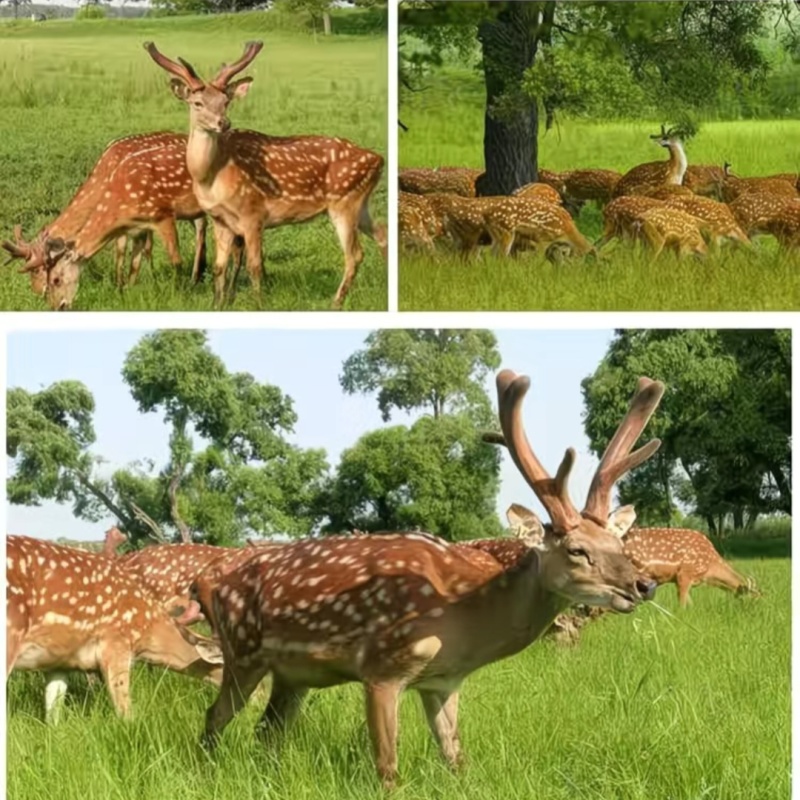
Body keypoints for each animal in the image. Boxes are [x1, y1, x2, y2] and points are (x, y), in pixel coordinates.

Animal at [144, 41, 386, 310]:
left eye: (225, 101)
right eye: (197, 103)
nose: (223, 123)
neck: (211, 177)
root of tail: (378, 159)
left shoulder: (253, 213)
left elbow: (255, 266)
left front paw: (259, 303)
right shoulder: (220, 219)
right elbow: (219, 267)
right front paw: (217, 304)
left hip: (344, 202)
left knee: (354, 254)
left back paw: (336, 302)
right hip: (361, 204)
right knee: (383, 234)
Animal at [196, 368, 664, 788]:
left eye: (618, 543)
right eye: (576, 550)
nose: (644, 585)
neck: (462, 613)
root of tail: (211, 584)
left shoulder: (443, 681)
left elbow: (457, 760)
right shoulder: (381, 668)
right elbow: (388, 771)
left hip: (294, 675)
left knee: (267, 732)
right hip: (242, 652)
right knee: (215, 718)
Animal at [622, 527, 760, 607]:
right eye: (753, 598)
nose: (758, 611)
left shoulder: (682, 580)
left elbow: (690, 604)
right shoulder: (684, 574)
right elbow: (682, 605)